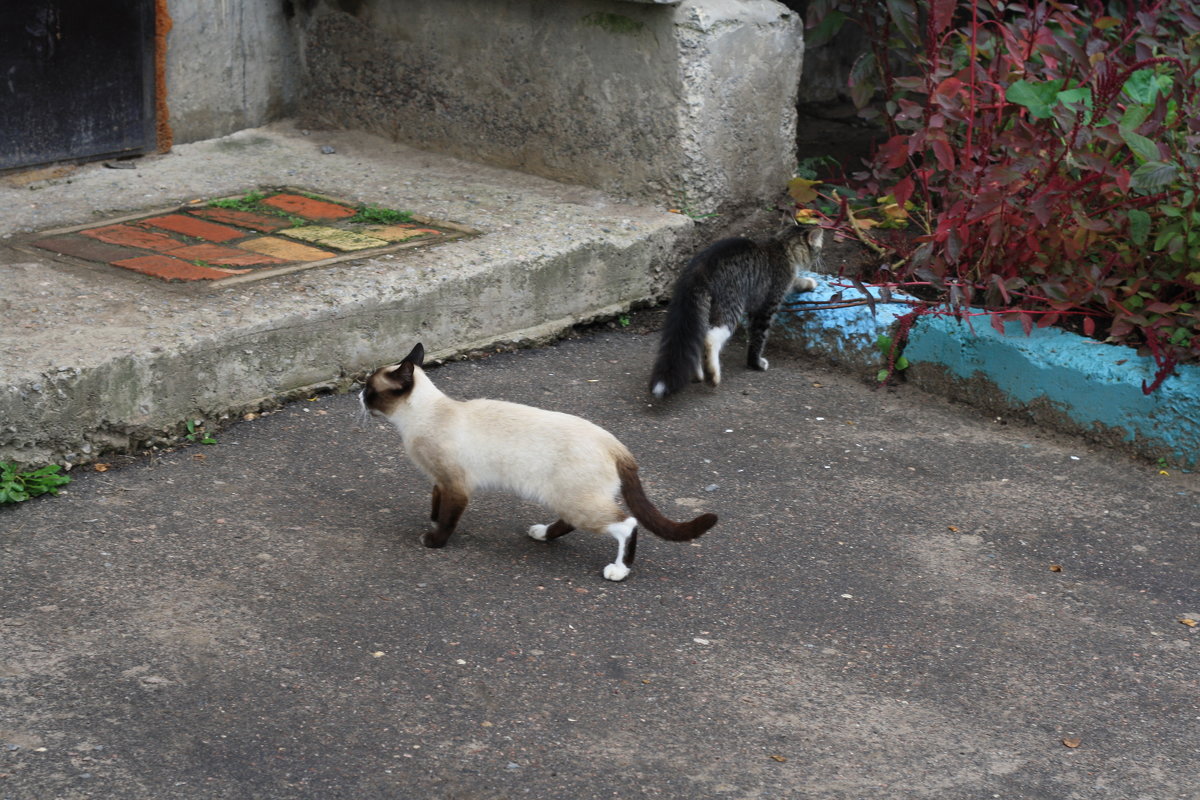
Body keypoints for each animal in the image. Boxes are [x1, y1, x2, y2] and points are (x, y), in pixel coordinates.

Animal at [360, 340, 715, 578]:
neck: (420, 418)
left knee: (626, 523)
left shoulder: (455, 486)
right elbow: (436, 508)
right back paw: (542, 534)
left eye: (369, 389)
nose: (359, 396)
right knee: (573, 522)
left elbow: (447, 519)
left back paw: (618, 570)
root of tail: (615, 444)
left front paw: (433, 541)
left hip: (576, 500)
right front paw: (430, 524)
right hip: (562, 496)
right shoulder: (439, 482)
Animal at [648, 220, 825, 398]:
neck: (782, 247)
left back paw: (697, 374)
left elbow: (796, 282)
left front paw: (809, 282)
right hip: (731, 307)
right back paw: (713, 376)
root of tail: (698, 269)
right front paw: (756, 364)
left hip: (703, 311)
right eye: (818, 249)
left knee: (698, 337)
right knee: (710, 338)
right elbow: (758, 338)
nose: (819, 259)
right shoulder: (766, 306)